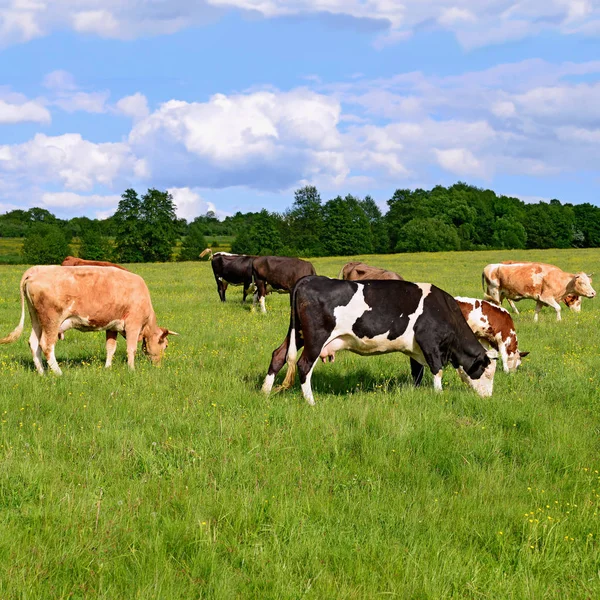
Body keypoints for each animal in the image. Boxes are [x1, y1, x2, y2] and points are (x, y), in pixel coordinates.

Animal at [0, 264, 177, 372]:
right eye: (166, 345)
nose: (159, 365)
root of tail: (36, 269)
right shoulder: (133, 324)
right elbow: (131, 349)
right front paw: (132, 369)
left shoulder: (112, 326)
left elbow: (110, 348)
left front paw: (107, 368)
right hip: (51, 319)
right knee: (46, 344)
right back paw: (58, 373)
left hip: (37, 319)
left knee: (34, 342)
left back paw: (42, 372)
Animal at [262, 276, 496, 404]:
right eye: (487, 372)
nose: (488, 397)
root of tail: (310, 279)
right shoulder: (429, 342)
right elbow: (436, 370)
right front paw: (439, 395)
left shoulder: (415, 349)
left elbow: (417, 373)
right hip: (315, 337)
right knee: (304, 365)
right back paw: (311, 402)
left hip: (298, 333)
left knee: (278, 355)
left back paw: (264, 392)